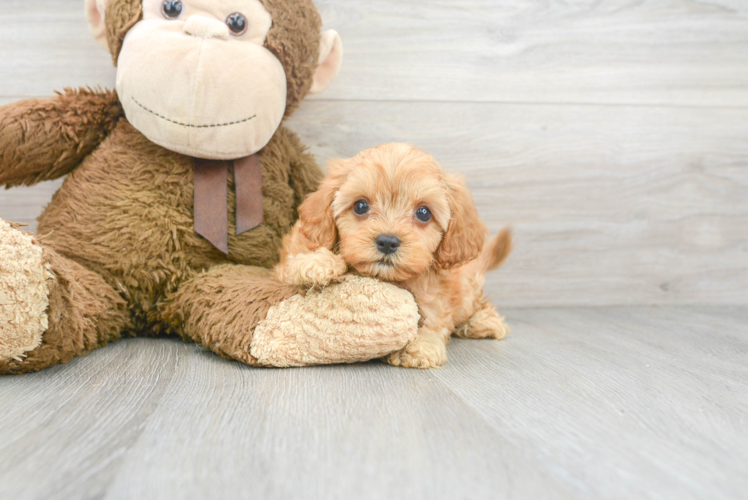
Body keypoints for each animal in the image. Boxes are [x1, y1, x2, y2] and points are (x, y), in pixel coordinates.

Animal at [274, 143, 516, 366]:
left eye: (424, 213)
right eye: (360, 206)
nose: (388, 242)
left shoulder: (437, 292)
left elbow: (433, 316)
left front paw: (421, 344)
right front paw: (317, 263)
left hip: (466, 288)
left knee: (478, 302)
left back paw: (483, 322)